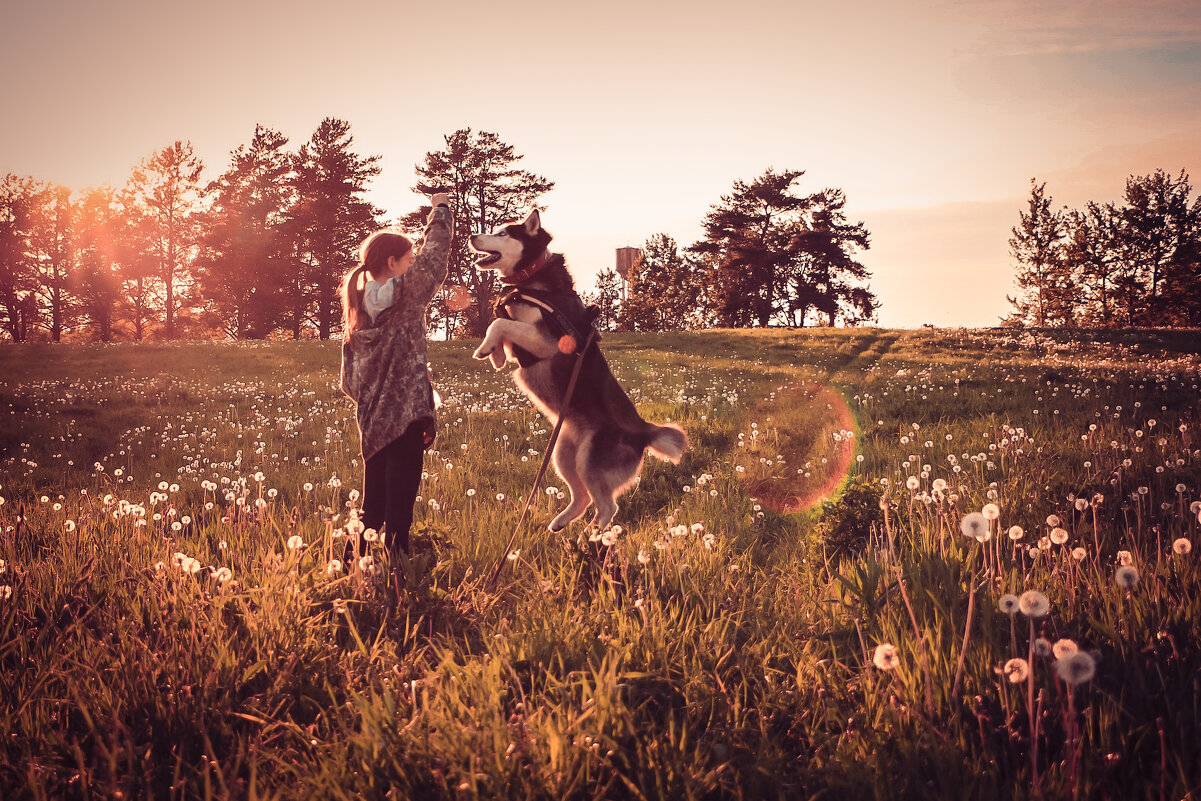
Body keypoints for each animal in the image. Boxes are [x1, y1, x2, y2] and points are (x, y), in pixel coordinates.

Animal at [473, 210, 691, 533]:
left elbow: (499, 323)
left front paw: (486, 347)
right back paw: (561, 524)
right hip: (563, 454)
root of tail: (644, 432)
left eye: (502, 233)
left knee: (607, 505)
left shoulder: (547, 341)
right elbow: (499, 327)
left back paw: (592, 534)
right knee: (583, 498)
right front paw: (495, 354)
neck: (531, 282)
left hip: (589, 461)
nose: (472, 236)